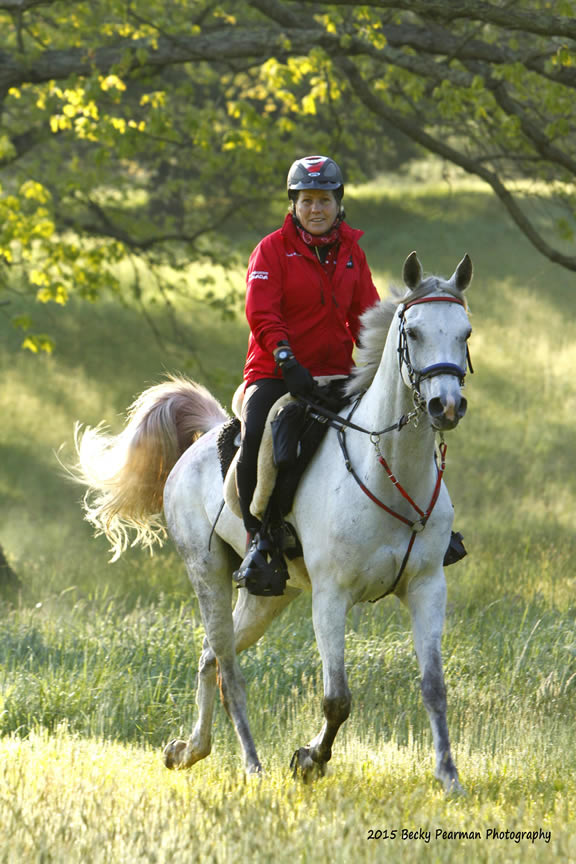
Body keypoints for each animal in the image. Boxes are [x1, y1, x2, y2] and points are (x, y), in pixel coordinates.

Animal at [74, 251, 473, 793]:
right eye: (412, 331)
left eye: (465, 333)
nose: (445, 406)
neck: (390, 467)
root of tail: (203, 441)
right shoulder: (331, 595)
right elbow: (337, 699)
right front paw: (309, 760)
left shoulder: (428, 586)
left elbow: (433, 687)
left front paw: (449, 777)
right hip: (208, 575)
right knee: (228, 668)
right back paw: (251, 764)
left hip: (271, 596)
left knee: (209, 659)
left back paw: (189, 750)